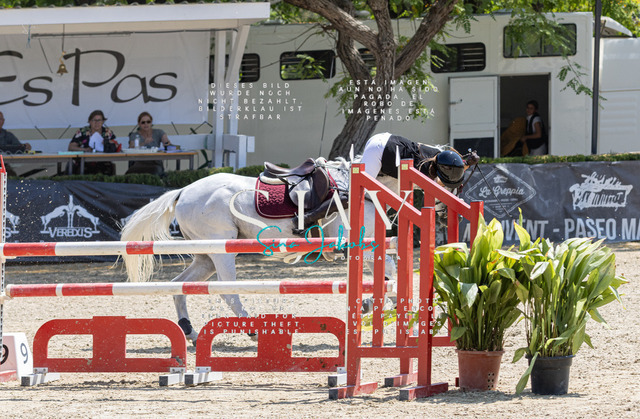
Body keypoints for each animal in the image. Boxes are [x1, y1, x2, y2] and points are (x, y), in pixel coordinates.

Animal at [120, 157, 397, 344]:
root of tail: (183, 191)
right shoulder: (362, 246)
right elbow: (389, 274)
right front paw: (375, 306)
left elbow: (387, 276)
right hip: (221, 251)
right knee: (228, 292)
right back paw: (252, 329)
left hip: (205, 257)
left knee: (179, 285)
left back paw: (190, 331)